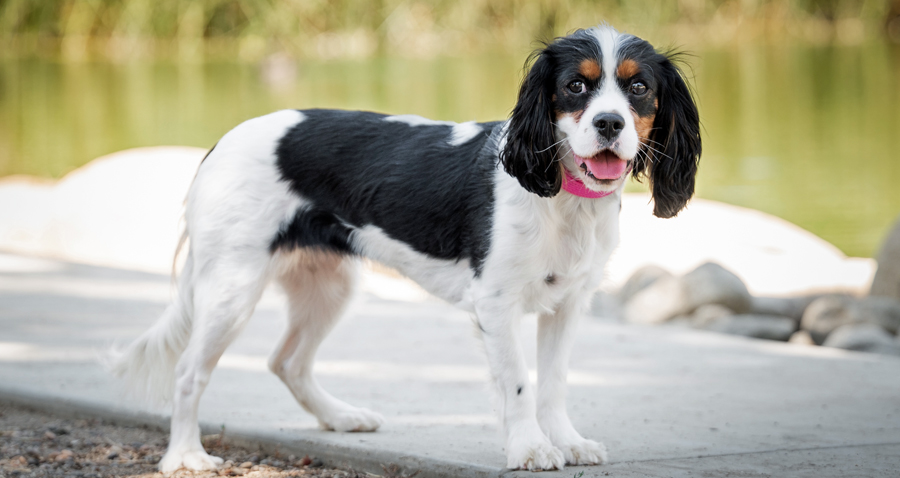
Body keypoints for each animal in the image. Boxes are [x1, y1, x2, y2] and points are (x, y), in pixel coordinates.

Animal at [109, 24, 704, 472]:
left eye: (639, 88)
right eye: (576, 88)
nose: (609, 123)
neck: (562, 195)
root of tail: (220, 143)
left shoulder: (569, 303)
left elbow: (553, 382)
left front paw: (567, 440)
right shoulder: (496, 303)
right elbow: (517, 384)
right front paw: (530, 448)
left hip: (328, 286)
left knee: (288, 361)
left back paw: (340, 417)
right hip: (232, 287)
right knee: (189, 371)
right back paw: (185, 456)